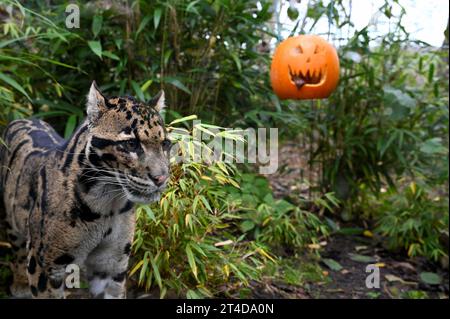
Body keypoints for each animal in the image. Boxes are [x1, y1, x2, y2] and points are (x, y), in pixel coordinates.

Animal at [0, 82, 171, 300]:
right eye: (131, 143)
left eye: (166, 144)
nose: (161, 178)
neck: (107, 203)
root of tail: (24, 117)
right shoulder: (45, 267)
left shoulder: (112, 263)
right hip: (11, 219)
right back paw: (20, 285)